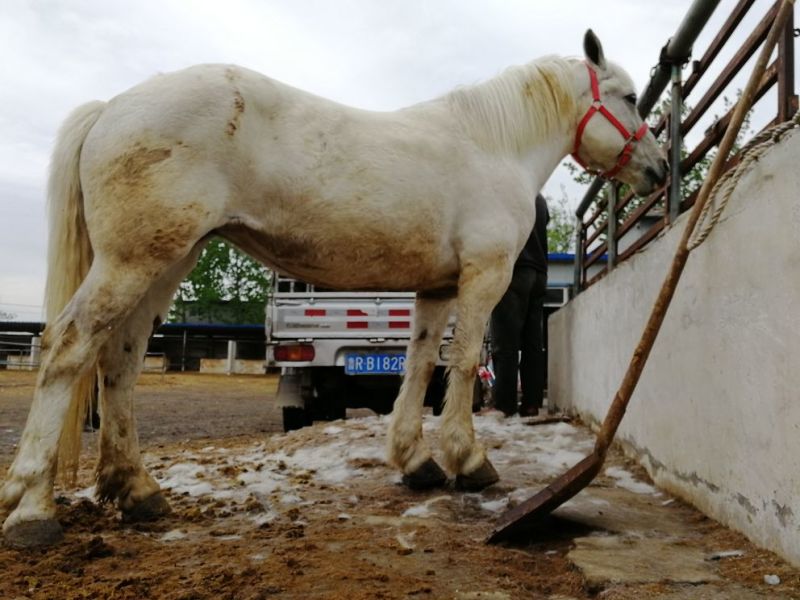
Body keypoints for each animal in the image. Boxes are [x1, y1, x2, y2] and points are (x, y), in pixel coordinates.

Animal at [0, 30, 666, 547]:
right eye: (632, 98)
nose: (659, 171)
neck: (492, 145)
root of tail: (113, 105)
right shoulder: (484, 277)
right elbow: (463, 361)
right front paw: (469, 460)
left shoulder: (435, 290)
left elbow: (419, 364)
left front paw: (415, 460)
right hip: (132, 262)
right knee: (68, 346)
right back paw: (33, 508)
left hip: (165, 260)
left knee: (121, 358)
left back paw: (136, 491)